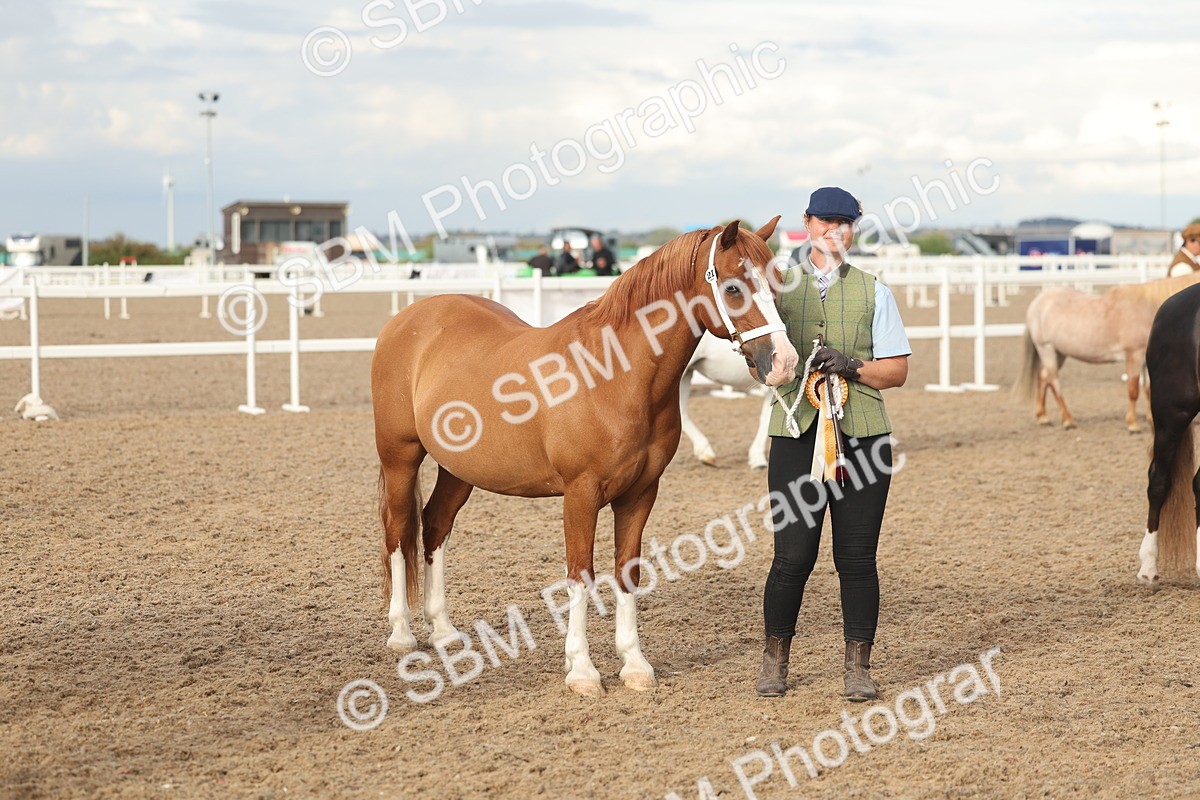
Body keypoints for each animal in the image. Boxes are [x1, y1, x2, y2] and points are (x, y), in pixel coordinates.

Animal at [1018, 271, 1200, 431]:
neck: (1148, 307)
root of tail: (1037, 302)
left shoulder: (1145, 360)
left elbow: (1149, 389)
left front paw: (1151, 420)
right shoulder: (1133, 356)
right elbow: (1133, 390)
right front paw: (1132, 424)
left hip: (1059, 353)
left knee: (1043, 377)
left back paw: (1043, 417)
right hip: (1046, 349)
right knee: (1054, 382)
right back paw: (1068, 420)